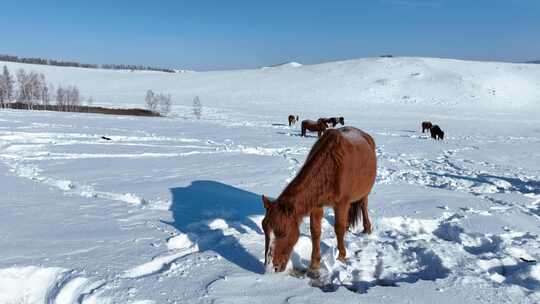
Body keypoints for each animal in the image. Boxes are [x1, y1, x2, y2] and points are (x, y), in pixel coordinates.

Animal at [262, 126, 376, 274]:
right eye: (264, 229)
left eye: (283, 233)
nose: (270, 268)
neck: (332, 166)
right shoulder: (317, 205)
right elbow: (315, 231)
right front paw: (314, 264)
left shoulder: (341, 204)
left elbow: (338, 228)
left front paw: (341, 257)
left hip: (364, 193)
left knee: (363, 205)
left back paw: (367, 228)